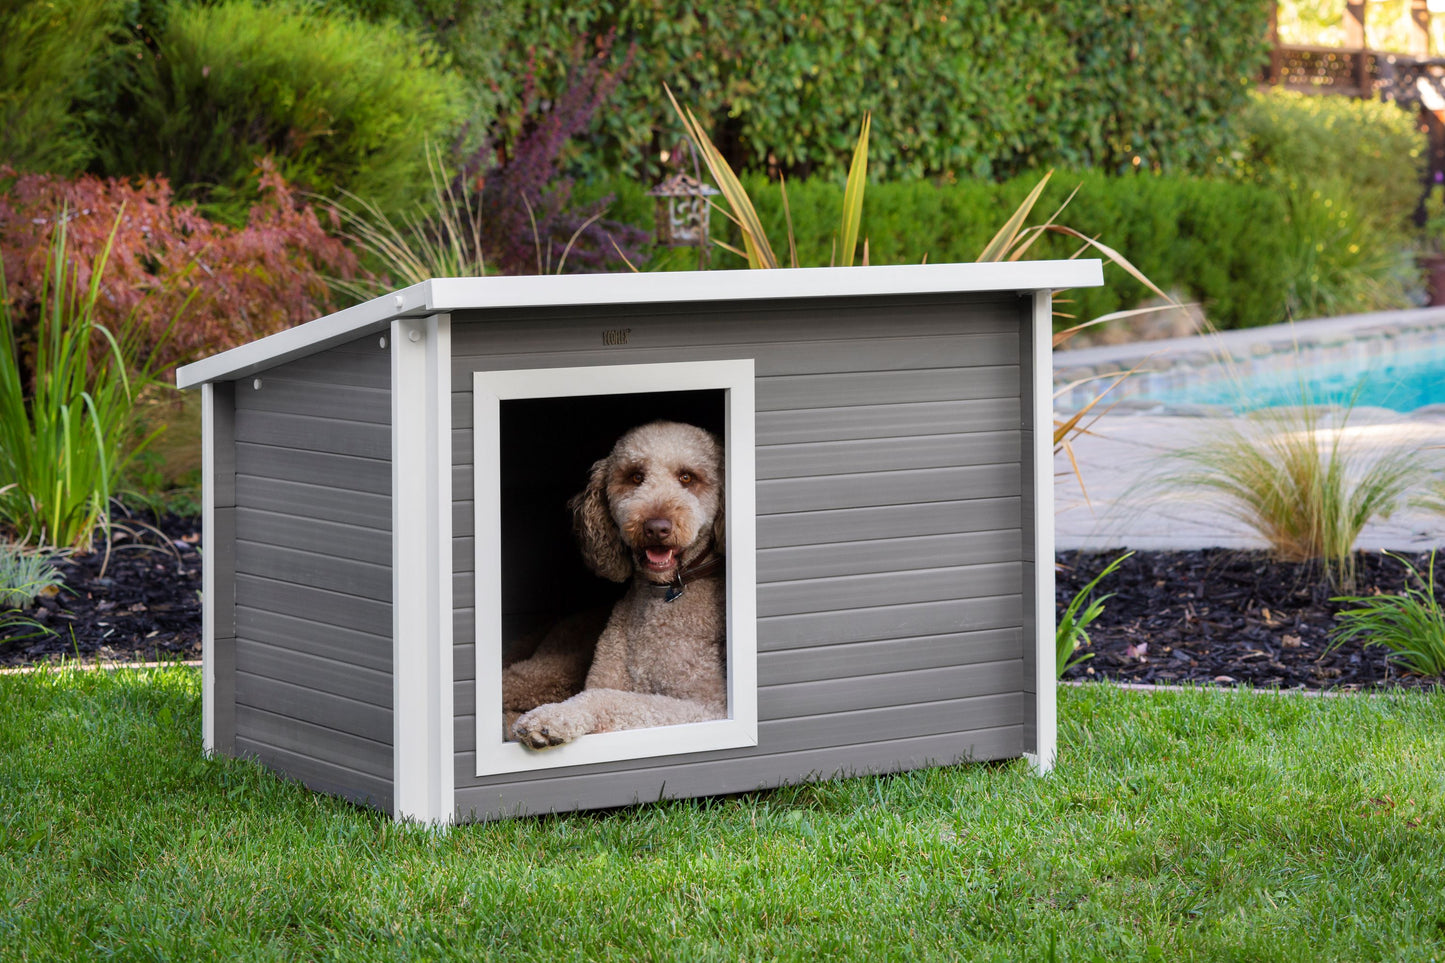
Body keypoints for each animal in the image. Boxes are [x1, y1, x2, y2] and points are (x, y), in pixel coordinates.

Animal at [502, 419, 728, 740]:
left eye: (687, 477)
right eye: (636, 476)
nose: (656, 527)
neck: (665, 592)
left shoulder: (709, 708)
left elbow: (612, 699)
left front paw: (550, 718)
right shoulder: (604, 676)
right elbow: (602, 693)